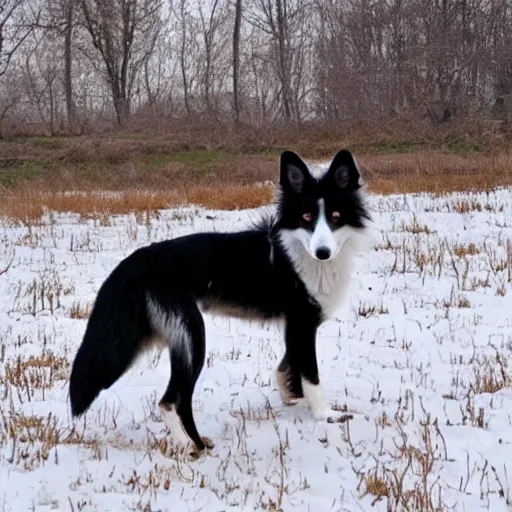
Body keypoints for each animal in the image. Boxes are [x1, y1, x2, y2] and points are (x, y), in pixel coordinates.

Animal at [69, 150, 372, 454]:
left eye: (335, 217)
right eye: (307, 217)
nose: (322, 252)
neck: (299, 252)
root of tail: (135, 261)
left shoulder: (295, 324)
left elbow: (288, 364)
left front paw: (292, 396)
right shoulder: (303, 321)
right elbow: (311, 374)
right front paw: (324, 414)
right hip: (192, 336)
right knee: (171, 400)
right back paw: (190, 445)